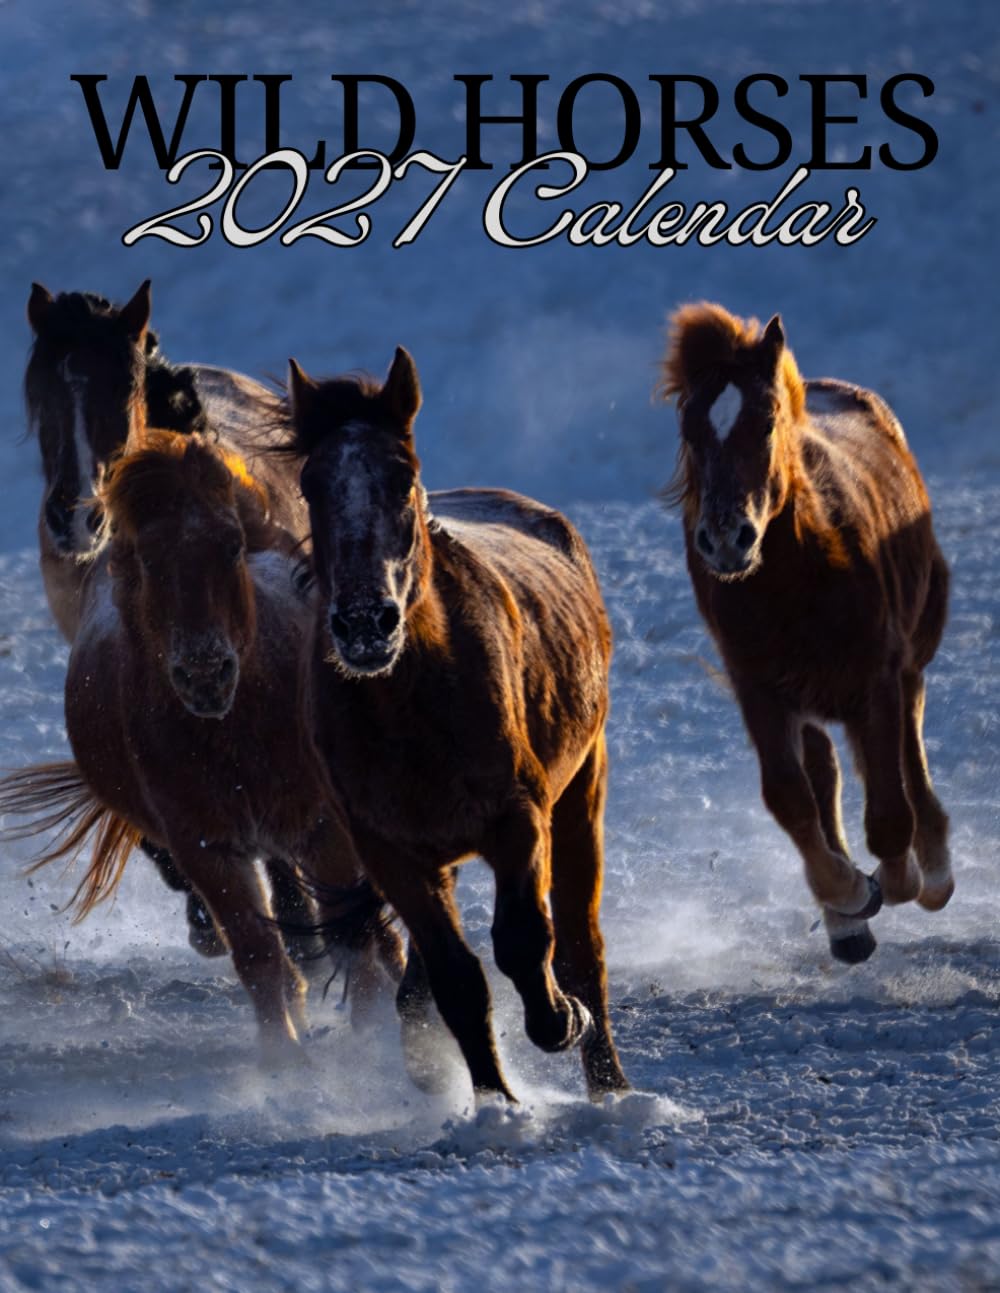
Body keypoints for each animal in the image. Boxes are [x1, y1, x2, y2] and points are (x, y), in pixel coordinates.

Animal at [0, 429, 402, 1063]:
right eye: (143, 557)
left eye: (231, 547)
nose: (206, 672)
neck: (235, 735)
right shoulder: (205, 847)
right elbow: (259, 954)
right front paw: (284, 1058)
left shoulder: (322, 830)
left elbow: (352, 933)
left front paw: (374, 1040)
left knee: (375, 925)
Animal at [279, 346, 629, 1103]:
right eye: (312, 483)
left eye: (402, 476)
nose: (364, 623)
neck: (412, 705)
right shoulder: (391, 850)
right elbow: (457, 981)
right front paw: (497, 1102)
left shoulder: (518, 818)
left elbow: (524, 941)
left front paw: (563, 1020)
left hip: (580, 793)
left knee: (583, 946)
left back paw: (610, 1084)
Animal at [660, 302, 951, 964]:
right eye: (689, 429)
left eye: (767, 422)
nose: (725, 538)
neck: (794, 582)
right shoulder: (759, 688)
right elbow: (790, 798)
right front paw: (847, 900)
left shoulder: (876, 677)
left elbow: (889, 810)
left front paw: (900, 880)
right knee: (824, 770)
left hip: (907, 660)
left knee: (909, 748)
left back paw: (934, 871)